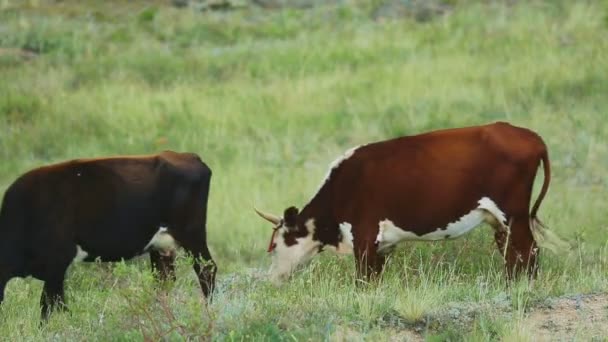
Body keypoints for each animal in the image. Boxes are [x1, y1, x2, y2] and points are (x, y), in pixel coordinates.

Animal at [0, 151, 217, 320]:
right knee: (164, 279)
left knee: (207, 270)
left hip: (192, 235)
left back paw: (210, 313)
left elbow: (50, 304)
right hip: (162, 246)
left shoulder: (57, 263)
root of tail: (189, 156)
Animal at [255, 122, 552, 284]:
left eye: (277, 245)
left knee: (527, 251)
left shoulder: (364, 236)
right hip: (500, 220)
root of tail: (531, 137)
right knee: (512, 253)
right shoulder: (382, 246)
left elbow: (362, 280)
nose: (273, 279)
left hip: (513, 214)